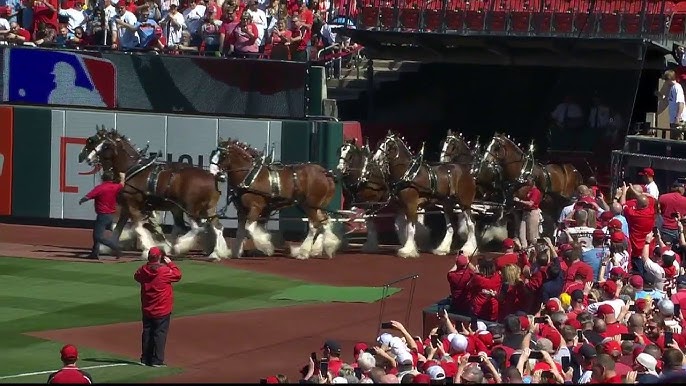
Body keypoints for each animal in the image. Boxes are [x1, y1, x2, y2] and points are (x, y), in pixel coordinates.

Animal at [77, 127, 230, 260]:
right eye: (96, 142)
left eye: (106, 145)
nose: (88, 158)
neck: (131, 169)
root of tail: (212, 177)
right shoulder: (127, 207)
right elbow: (118, 229)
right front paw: (109, 247)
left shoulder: (133, 205)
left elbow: (138, 227)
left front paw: (147, 249)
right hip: (204, 208)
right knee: (215, 227)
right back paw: (216, 252)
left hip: (190, 208)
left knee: (198, 228)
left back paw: (178, 246)